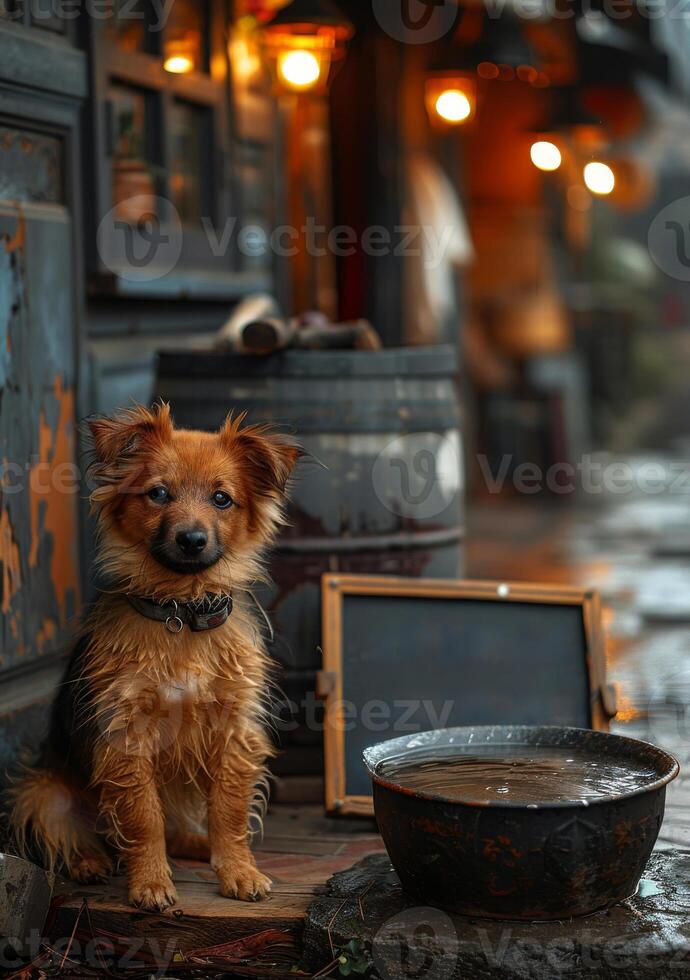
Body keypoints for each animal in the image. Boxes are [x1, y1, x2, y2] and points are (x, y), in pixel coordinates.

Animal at [8, 404, 298, 912]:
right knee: (74, 831)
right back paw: (90, 861)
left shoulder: (233, 730)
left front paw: (239, 870)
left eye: (222, 499)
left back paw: (202, 846)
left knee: (183, 831)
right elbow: (144, 818)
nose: (192, 539)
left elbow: (229, 810)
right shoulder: (127, 736)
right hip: (41, 792)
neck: (181, 609)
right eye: (158, 493)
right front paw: (149, 882)